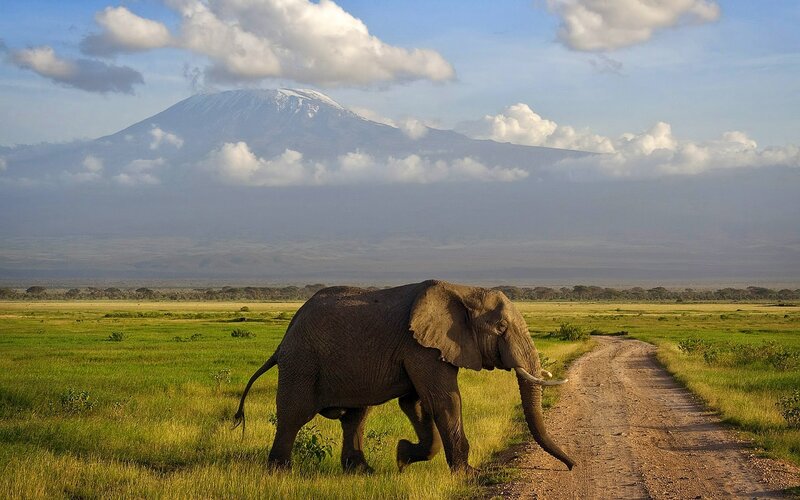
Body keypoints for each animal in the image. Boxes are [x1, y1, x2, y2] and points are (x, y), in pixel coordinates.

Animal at [233, 279, 575, 473]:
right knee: (294, 415)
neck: (464, 292)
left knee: (355, 416)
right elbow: (444, 402)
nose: (572, 466)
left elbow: (416, 404)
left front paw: (401, 457)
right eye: (501, 328)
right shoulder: (420, 346)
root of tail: (284, 338)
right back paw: (280, 472)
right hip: (301, 362)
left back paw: (362, 472)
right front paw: (470, 475)